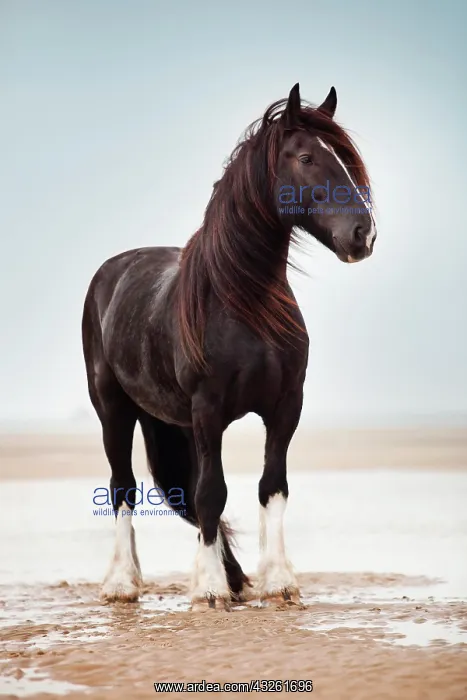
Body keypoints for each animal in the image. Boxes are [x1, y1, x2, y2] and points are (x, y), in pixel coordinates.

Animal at [82, 83, 376, 611]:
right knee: (123, 487)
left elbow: (270, 486)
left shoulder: (285, 406)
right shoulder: (208, 410)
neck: (243, 304)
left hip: (171, 422)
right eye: (306, 157)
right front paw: (211, 590)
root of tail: (110, 272)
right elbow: (210, 493)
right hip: (114, 410)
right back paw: (122, 582)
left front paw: (277, 582)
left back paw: (228, 576)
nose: (363, 234)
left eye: (343, 158)